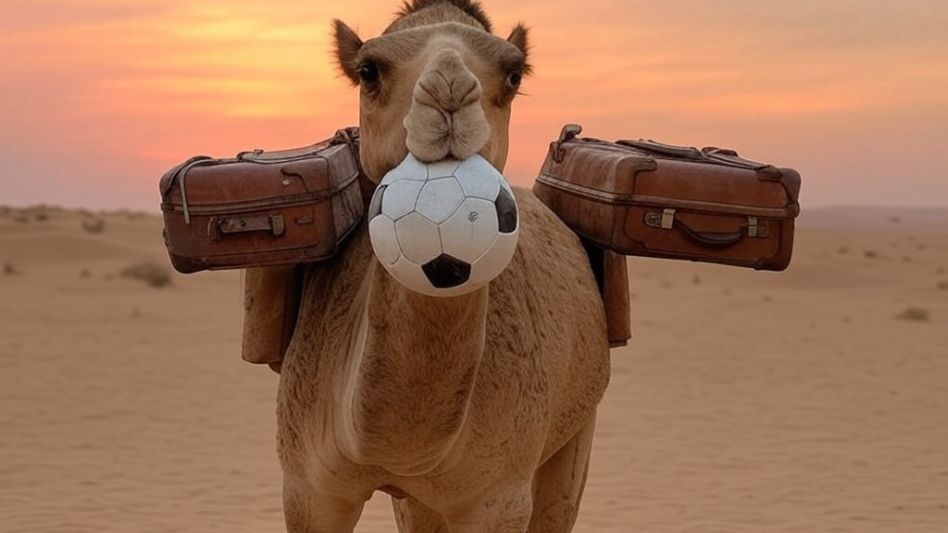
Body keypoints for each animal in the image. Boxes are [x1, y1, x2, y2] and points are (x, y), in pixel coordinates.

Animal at [276, 1, 610, 531]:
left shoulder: (498, 498)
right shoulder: (308, 489)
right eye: (368, 71)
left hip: (580, 419)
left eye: (514, 73)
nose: (449, 91)